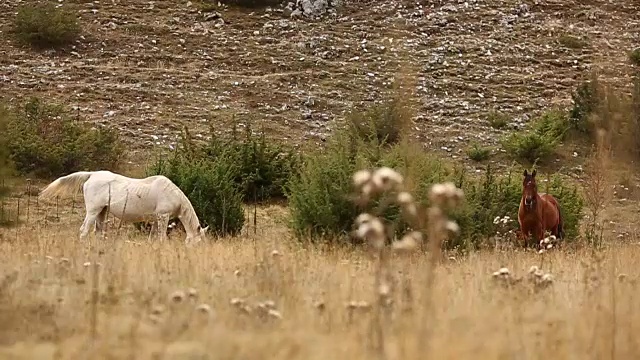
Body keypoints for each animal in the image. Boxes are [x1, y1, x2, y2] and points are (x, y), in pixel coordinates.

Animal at [38, 170, 209, 243]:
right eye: (199, 242)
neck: (173, 194)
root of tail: (91, 174)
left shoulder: (156, 219)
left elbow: (152, 237)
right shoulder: (163, 216)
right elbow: (161, 238)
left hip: (102, 211)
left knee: (98, 232)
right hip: (93, 211)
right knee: (83, 231)